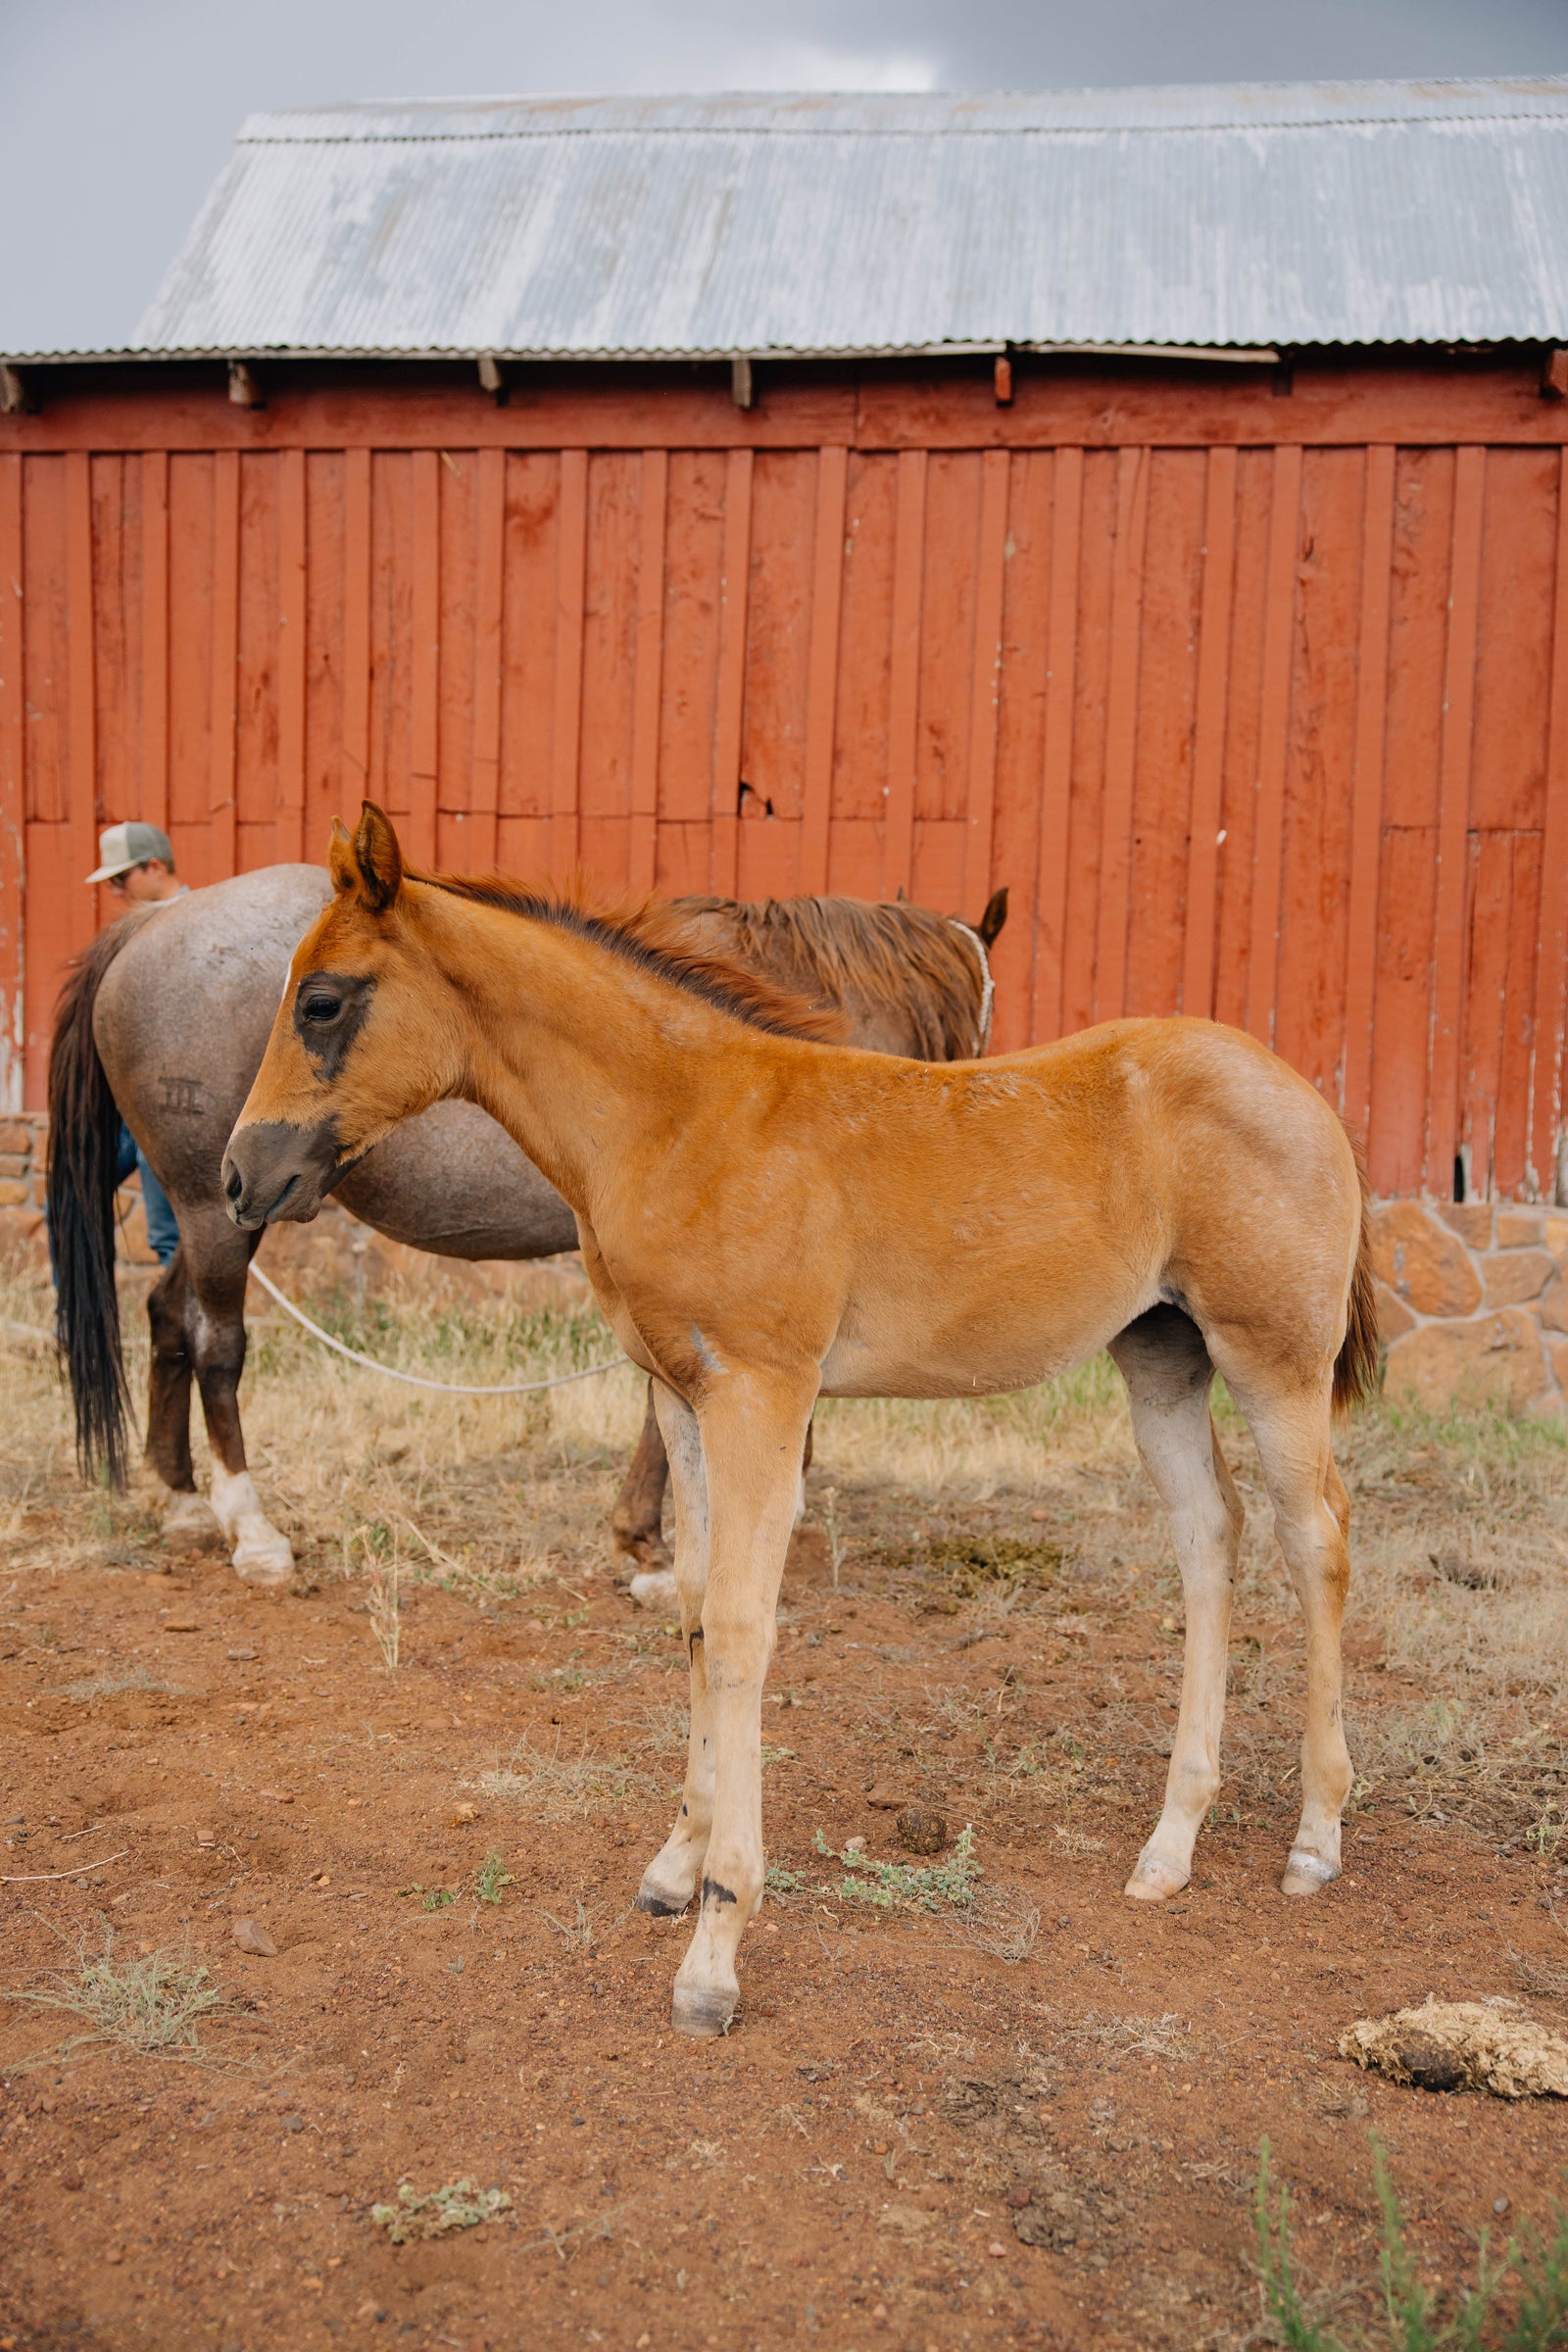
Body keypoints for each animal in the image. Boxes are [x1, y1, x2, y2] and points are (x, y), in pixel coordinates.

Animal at [48, 862, 1005, 1590]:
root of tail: (155, 920)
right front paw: (659, 1539)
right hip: (219, 1208)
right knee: (218, 1344)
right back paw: (251, 1530)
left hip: (225, 1205)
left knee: (166, 1317)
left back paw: (183, 1501)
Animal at [223, 803, 1377, 2039]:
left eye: (323, 1000)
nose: (241, 1178)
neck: (680, 1121)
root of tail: (1299, 1088)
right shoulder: (680, 1397)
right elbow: (690, 1610)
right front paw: (674, 1866)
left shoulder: (761, 1392)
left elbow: (739, 1629)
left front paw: (715, 1945)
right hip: (1159, 1354)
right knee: (1211, 1537)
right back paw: (1169, 1844)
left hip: (1271, 1358)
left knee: (1315, 1539)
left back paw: (1315, 1837)